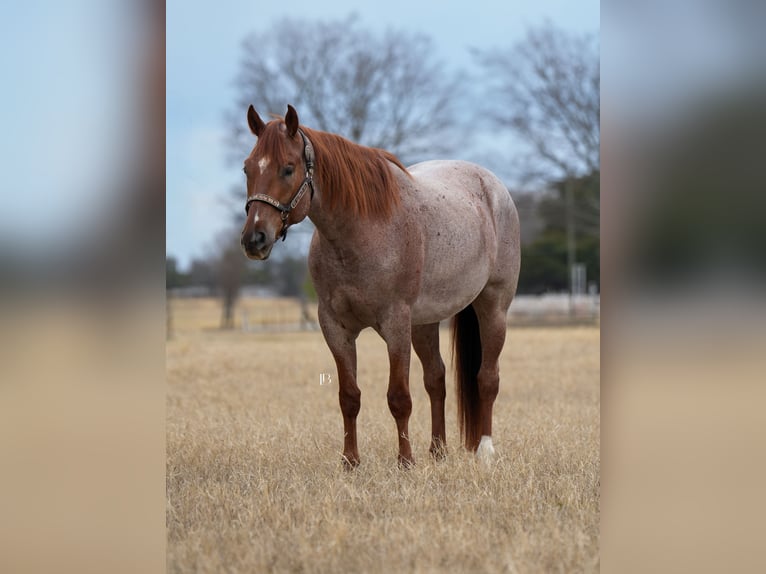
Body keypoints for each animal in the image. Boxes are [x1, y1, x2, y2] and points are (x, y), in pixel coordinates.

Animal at [240, 105, 520, 467]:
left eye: (288, 169)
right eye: (247, 168)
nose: (254, 238)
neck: (361, 231)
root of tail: (493, 185)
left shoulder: (395, 323)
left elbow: (399, 397)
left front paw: (405, 461)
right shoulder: (335, 327)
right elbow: (349, 396)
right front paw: (350, 461)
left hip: (493, 307)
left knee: (487, 378)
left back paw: (485, 451)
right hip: (425, 323)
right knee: (436, 379)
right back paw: (437, 451)